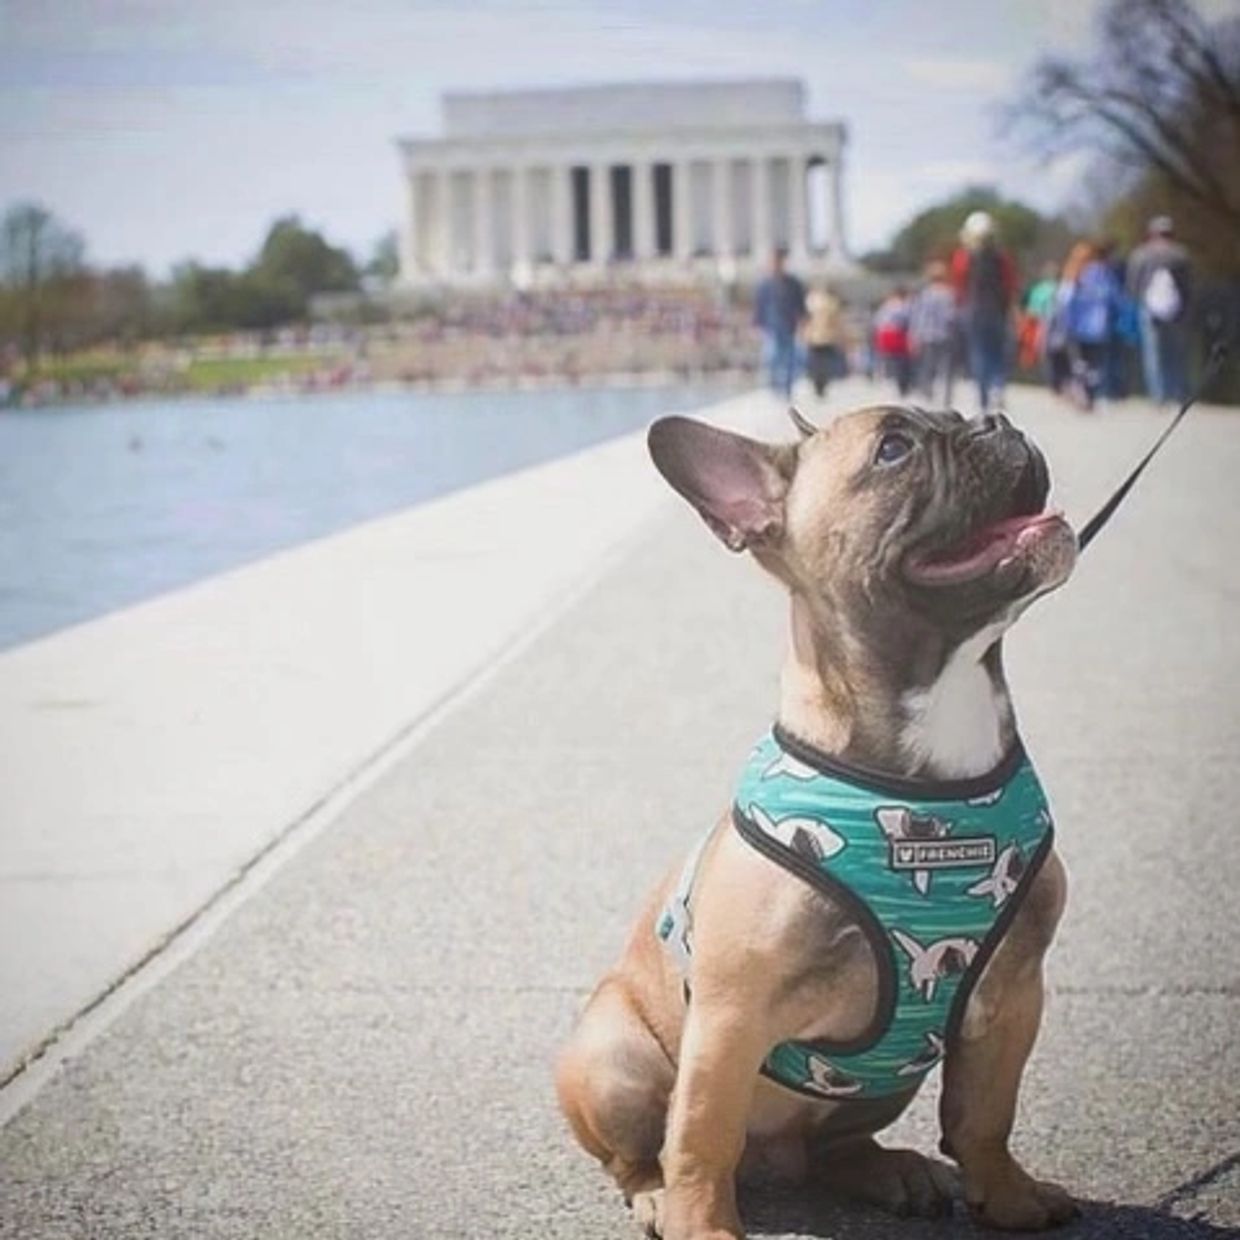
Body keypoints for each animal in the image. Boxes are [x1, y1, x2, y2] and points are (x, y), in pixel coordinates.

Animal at [558, 401, 1081, 1235]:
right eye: (893, 449)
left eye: (959, 415)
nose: (996, 419)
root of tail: (779, 1159)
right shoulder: (729, 1019)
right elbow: (700, 1137)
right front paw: (703, 1224)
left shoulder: (1016, 992)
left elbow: (986, 1113)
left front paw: (1008, 1197)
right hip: (614, 1056)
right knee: (644, 1151)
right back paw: (656, 1193)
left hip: (875, 1090)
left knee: (837, 1147)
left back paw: (889, 1169)